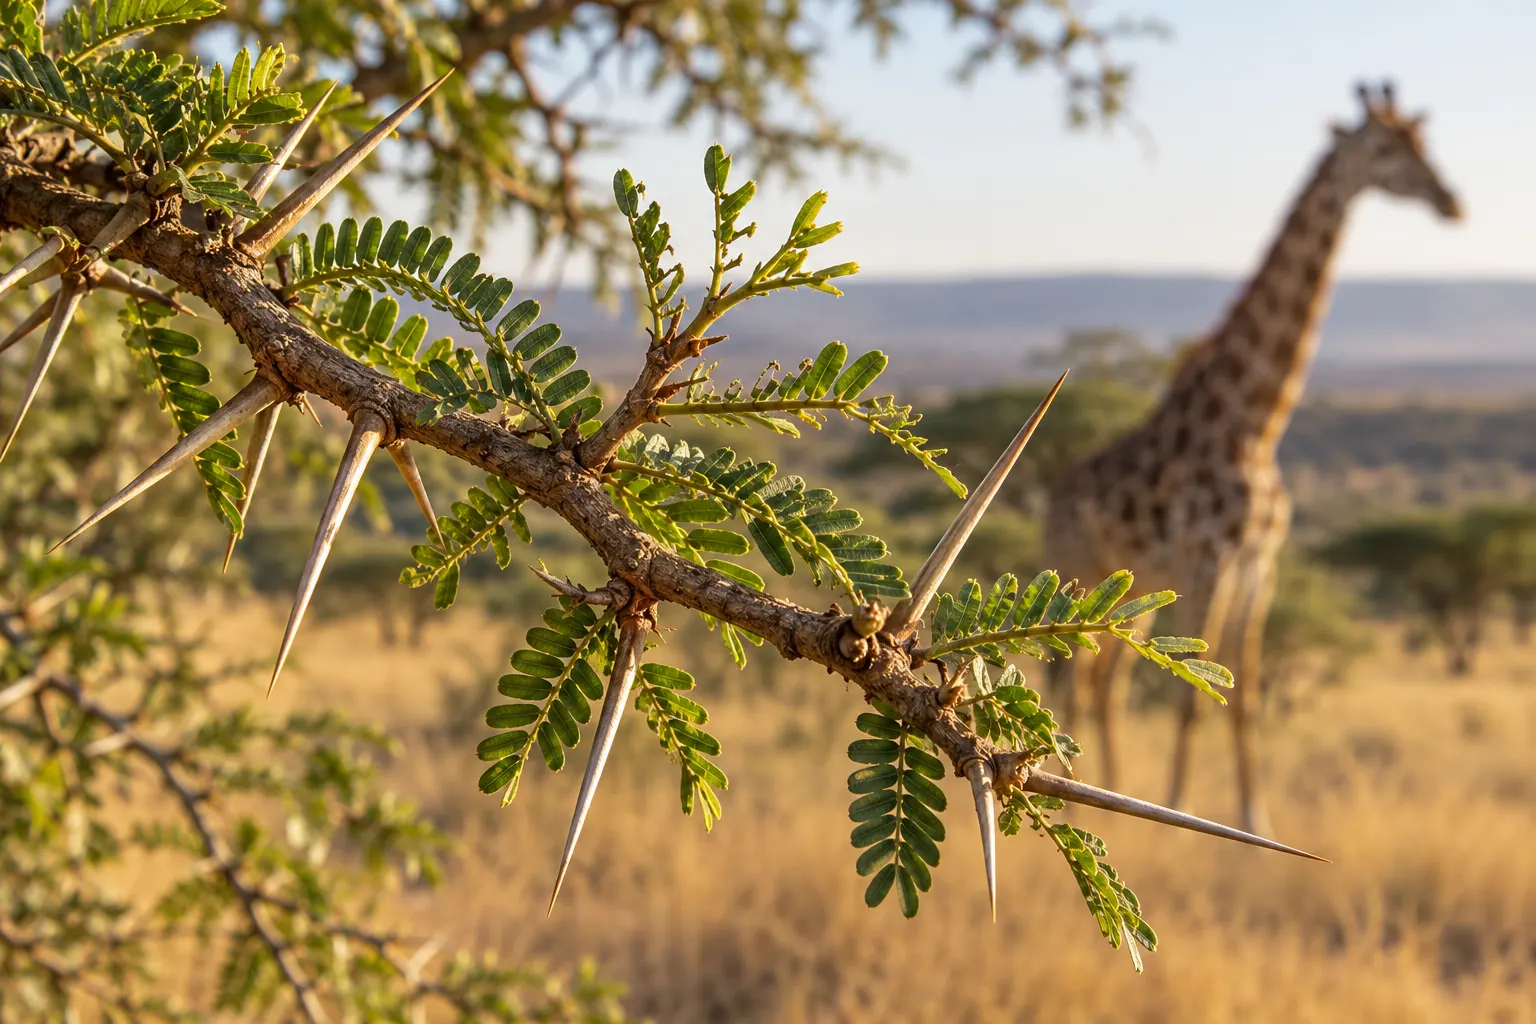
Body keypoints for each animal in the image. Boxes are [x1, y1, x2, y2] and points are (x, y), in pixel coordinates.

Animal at [1041, 81, 1462, 834]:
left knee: (1106, 682)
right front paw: (1180, 808)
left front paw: (1252, 818)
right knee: (1071, 677)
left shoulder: (1258, 567)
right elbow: (1191, 693)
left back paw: (1108, 789)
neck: (1256, 424)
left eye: (1424, 142)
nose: (1452, 201)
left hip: (1134, 590)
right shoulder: (1210, 561)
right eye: (1386, 149)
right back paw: (1078, 786)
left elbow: (1250, 695)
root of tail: (1048, 498)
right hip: (1078, 568)